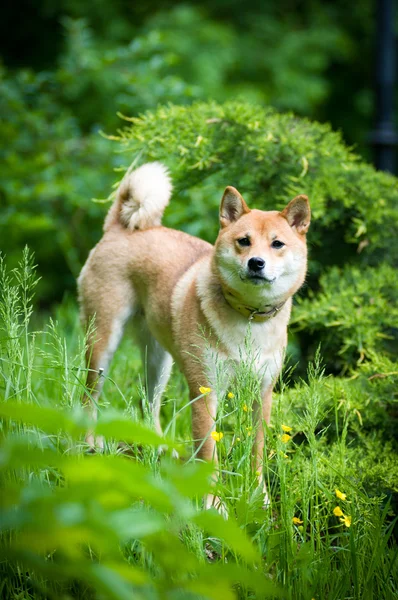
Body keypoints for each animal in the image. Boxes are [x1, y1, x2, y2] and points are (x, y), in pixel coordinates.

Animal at [77, 163, 308, 506]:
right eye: (244, 241)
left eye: (277, 244)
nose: (256, 262)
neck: (250, 318)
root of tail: (120, 227)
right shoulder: (205, 392)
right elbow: (209, 456)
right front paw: (214, 507)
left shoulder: (261, 395)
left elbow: (256, 453)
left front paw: (260, 500)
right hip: (102, 347)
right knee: (88, 398)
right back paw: (91, 445)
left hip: (159, 362)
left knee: (148, 404)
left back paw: (160, 449)